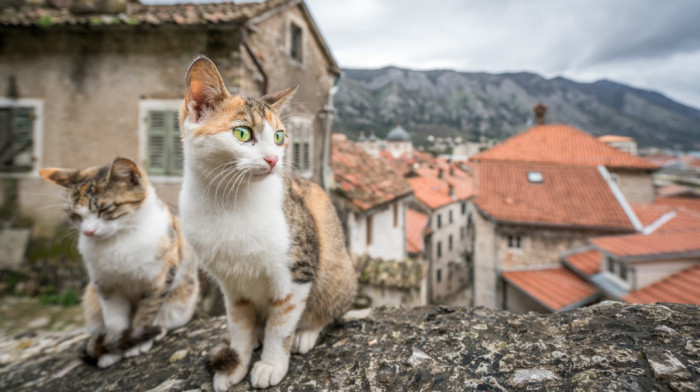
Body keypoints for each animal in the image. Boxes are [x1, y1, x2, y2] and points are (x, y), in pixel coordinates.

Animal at [39, 155, 198, 368]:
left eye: (104, 209)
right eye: (75, 216)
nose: (88, 232)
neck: (118, 241)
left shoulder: (159, 278)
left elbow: (147, 313)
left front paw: (137, 344)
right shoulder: (106, 286)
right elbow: (115, 320)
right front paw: (114, 349)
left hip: (181, 302)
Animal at [178, 56, 358, 390]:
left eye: (279, 136)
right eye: (242, 133)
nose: (274, 159)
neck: (229, 202)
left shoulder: (296, 270)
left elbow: (281, 324)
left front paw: (271, 363)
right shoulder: (230, 285)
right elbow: (238, 325)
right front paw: (236, 362)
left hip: (337, 273)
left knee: (328, 311)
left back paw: (306, 333)